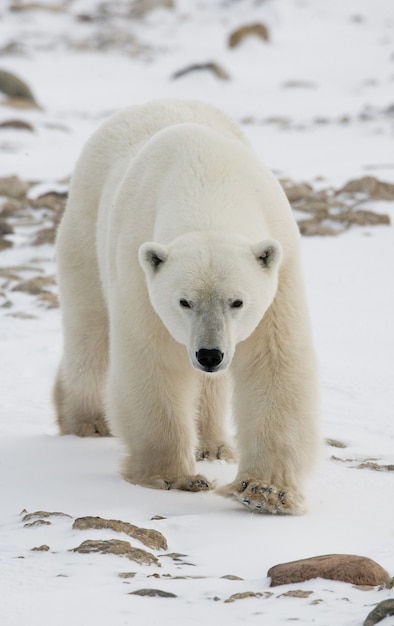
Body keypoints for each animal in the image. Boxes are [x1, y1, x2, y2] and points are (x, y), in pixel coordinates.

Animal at [54, 98, 320, 512]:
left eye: (237, 301)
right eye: (184, 301)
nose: (209, 354)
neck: (205, 182)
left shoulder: (280, 266)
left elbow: (273, 361)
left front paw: (265, 492)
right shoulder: (139, 268)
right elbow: (152, 360)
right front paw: (174, 476)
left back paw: (212, 445)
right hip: (86, 227)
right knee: (89, 327)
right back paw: (87, 420)